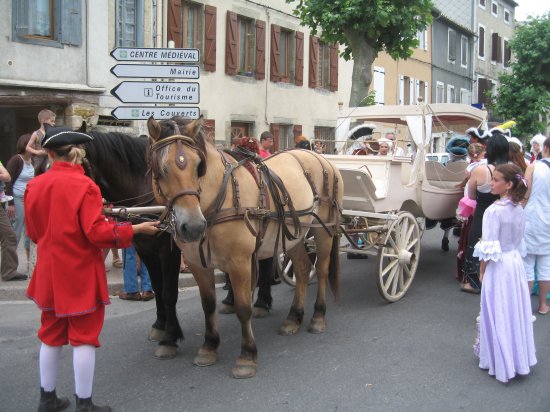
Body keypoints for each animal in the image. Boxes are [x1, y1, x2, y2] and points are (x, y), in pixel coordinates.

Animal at [147, 116, 344, 380]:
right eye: (160, 168)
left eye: (199, 166)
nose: (193, 226)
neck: (218, 200)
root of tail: (322, 159)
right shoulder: (197, 263)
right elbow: (208, 305)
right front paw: (209, 346)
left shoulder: (239, 262)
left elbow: (243, 308)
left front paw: (247, 355)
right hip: (294, 235)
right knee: (303, 270)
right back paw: (293, 318)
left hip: (323, 231)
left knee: (321, 271)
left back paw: (318, 317)